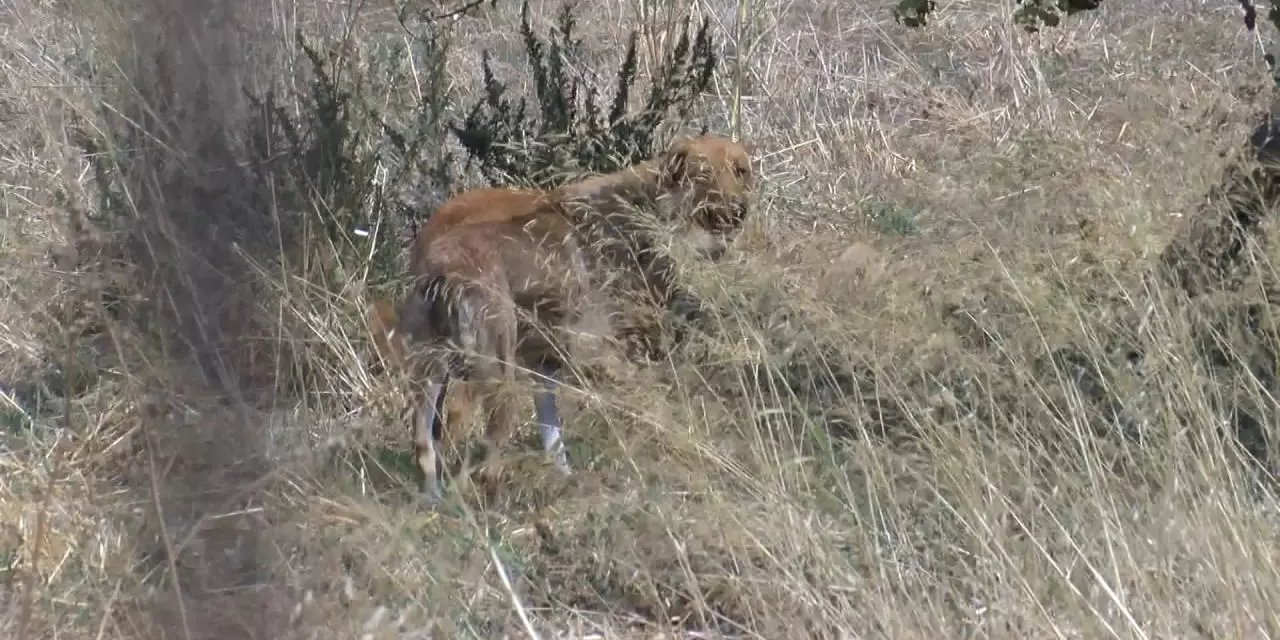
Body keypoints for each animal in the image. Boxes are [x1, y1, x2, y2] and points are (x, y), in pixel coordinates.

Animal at [384, 133, 752, 504]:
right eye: (704, 174)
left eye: (741, 171)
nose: (740, 211)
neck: (649, 207)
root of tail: (438, 255)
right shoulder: (606, 353)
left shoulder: (546, 361)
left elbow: (553, 435)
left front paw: (567, 482)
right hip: (493, 366)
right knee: (464, 424)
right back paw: (477, 494)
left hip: (430, 367)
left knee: (425, 436)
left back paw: (437, 497)